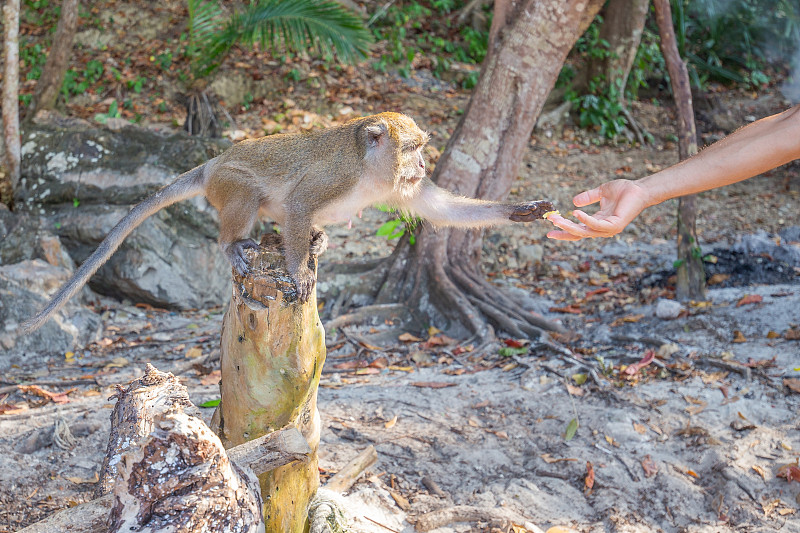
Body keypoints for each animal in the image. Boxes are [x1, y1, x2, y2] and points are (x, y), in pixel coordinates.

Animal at [20, 112, 556, 332]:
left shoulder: (401, 188)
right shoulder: (337, 175)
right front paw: (298, 275)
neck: (369, 168)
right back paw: (235, 244)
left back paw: (313, 241)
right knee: (252, 194)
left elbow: (444, 208)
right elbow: (299, 203)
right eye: (413, 147)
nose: (423, 165)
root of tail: (212, 162)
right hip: (229, 181)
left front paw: (521, 211)